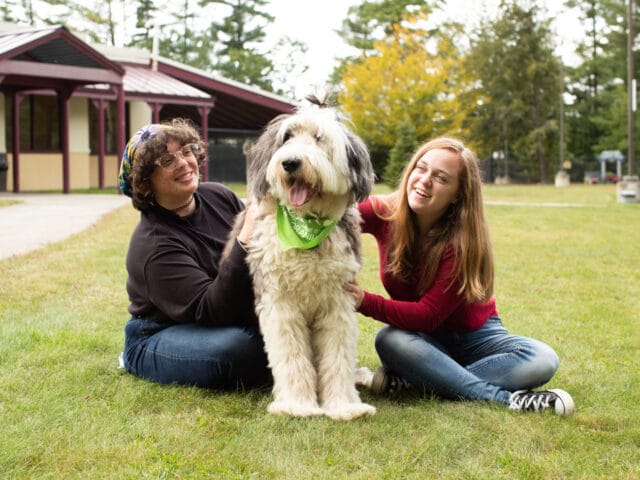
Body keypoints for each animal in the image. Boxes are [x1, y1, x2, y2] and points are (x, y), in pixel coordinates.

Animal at [234, 91, 376, 420]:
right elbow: (290, 355)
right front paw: (297, 405)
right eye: (287, 137)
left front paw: (344, 406)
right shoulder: (279, 303)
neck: (305, 229)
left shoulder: (338, 301)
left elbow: (338, 355)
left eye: (319, 138)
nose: (290, 163)